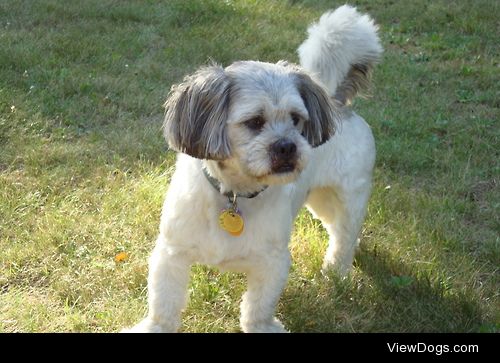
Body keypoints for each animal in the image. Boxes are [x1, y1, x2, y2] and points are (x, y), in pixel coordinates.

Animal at [125, 4, 382, 332]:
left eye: (296, 120)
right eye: (254, 122)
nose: (287, 145)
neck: (234, 194)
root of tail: (335, 100)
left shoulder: (272, 262)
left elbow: (258, 306)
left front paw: (262, 326)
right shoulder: (171, 253)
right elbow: (164, 304)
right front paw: (155, 326)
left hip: (348, 197)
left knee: (344, 235)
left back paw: (337, 271)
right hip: (321, 202)